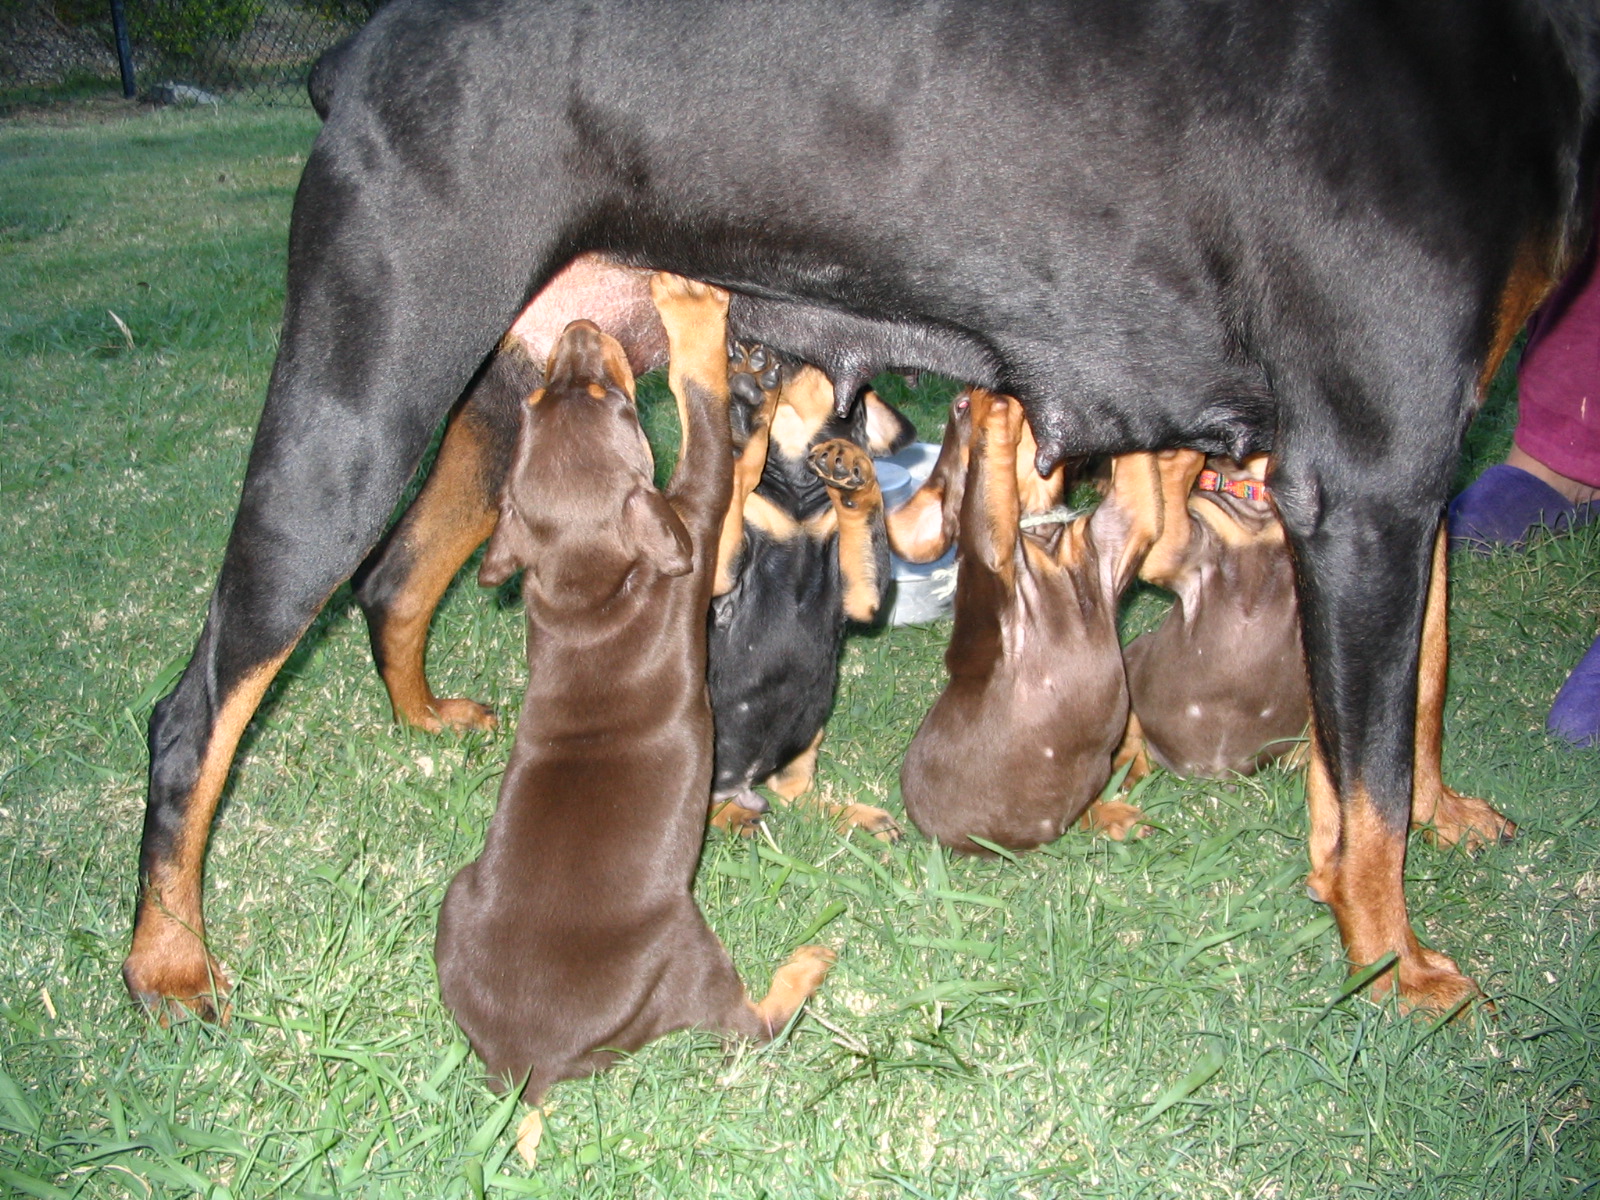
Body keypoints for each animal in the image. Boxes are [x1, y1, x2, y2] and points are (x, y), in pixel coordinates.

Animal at [438, 276, 838, 1107]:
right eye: (614, 398)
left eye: (541, 399)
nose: (579, 326)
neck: (590, 586)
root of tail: (530, 1064)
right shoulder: (700, 545)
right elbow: (717, 448)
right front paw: (701, 330)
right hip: (691, 953)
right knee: (755, 1025)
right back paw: (807, 964)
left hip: (454, 900)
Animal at [710, 352, 915, 838]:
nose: (753, 348)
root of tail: (739, 782)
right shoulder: (720, 580)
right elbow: (737, 475)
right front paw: (748, 416)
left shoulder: (863, 596)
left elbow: (866, 518)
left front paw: (853, 468)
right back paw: (737, 817)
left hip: (808, 732)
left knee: (794, 798)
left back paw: (856, 817)